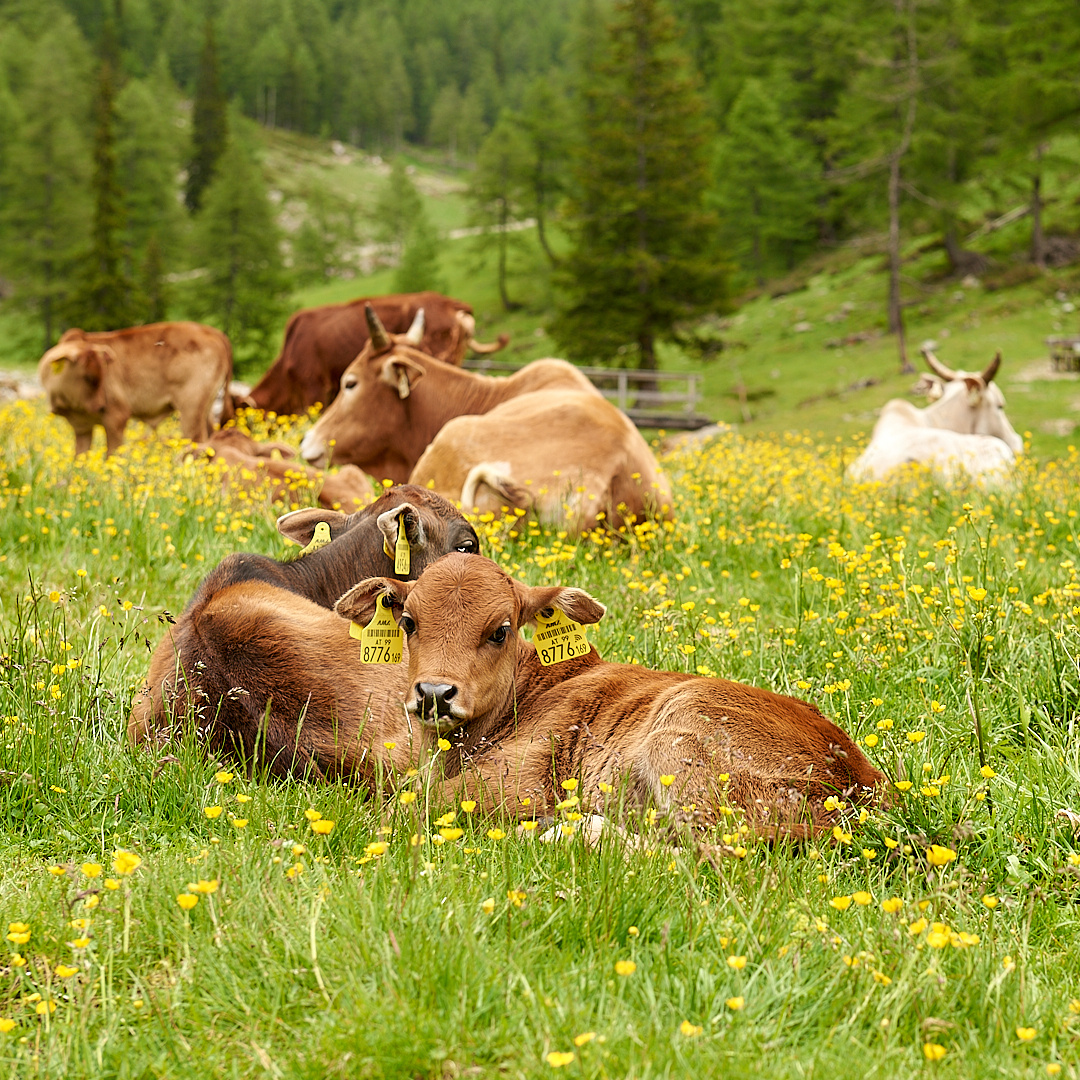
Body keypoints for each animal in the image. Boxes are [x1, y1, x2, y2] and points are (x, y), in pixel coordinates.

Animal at [336, 552, 885, 838]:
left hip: (682, 745)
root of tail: (867, 787)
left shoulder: (522, 781)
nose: (434, 692)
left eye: (500, 630)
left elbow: (399, 810)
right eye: (408, 622)